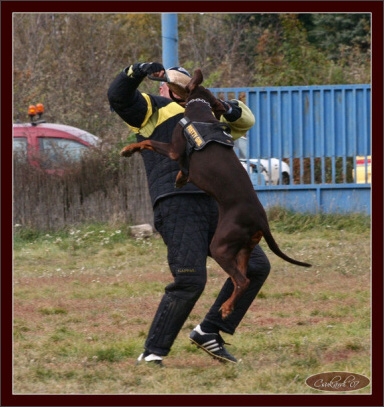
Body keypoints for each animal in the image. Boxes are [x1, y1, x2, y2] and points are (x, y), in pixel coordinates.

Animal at [121, 68, 310, 320]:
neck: (200, 109)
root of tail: (261, 221)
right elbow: (183, 169)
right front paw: (180, 178)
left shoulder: (173, 150)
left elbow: (150, 141)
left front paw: (128, 149)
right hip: (244, 247)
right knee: (243, 277)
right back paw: (228, 305)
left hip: (220, 245)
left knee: (241, 280)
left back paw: (227, 307)